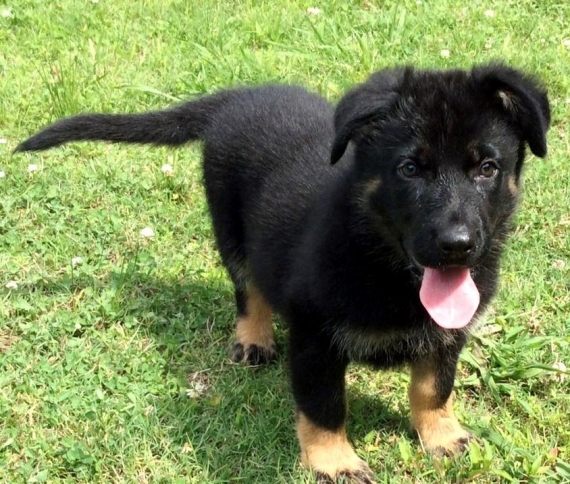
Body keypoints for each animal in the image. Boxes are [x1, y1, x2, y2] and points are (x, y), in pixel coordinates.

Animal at [16, 63, 550, 483]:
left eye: (487, 168)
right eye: (410, 169)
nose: (457, 247)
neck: (383, 263)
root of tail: (240, 96)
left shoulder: (448, 335)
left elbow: (433, 387)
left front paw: (442, 435)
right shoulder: (315, 338)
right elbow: (324, 406)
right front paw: (334, 462)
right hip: (230, 230)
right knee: (248, 290)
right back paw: (253, 339)